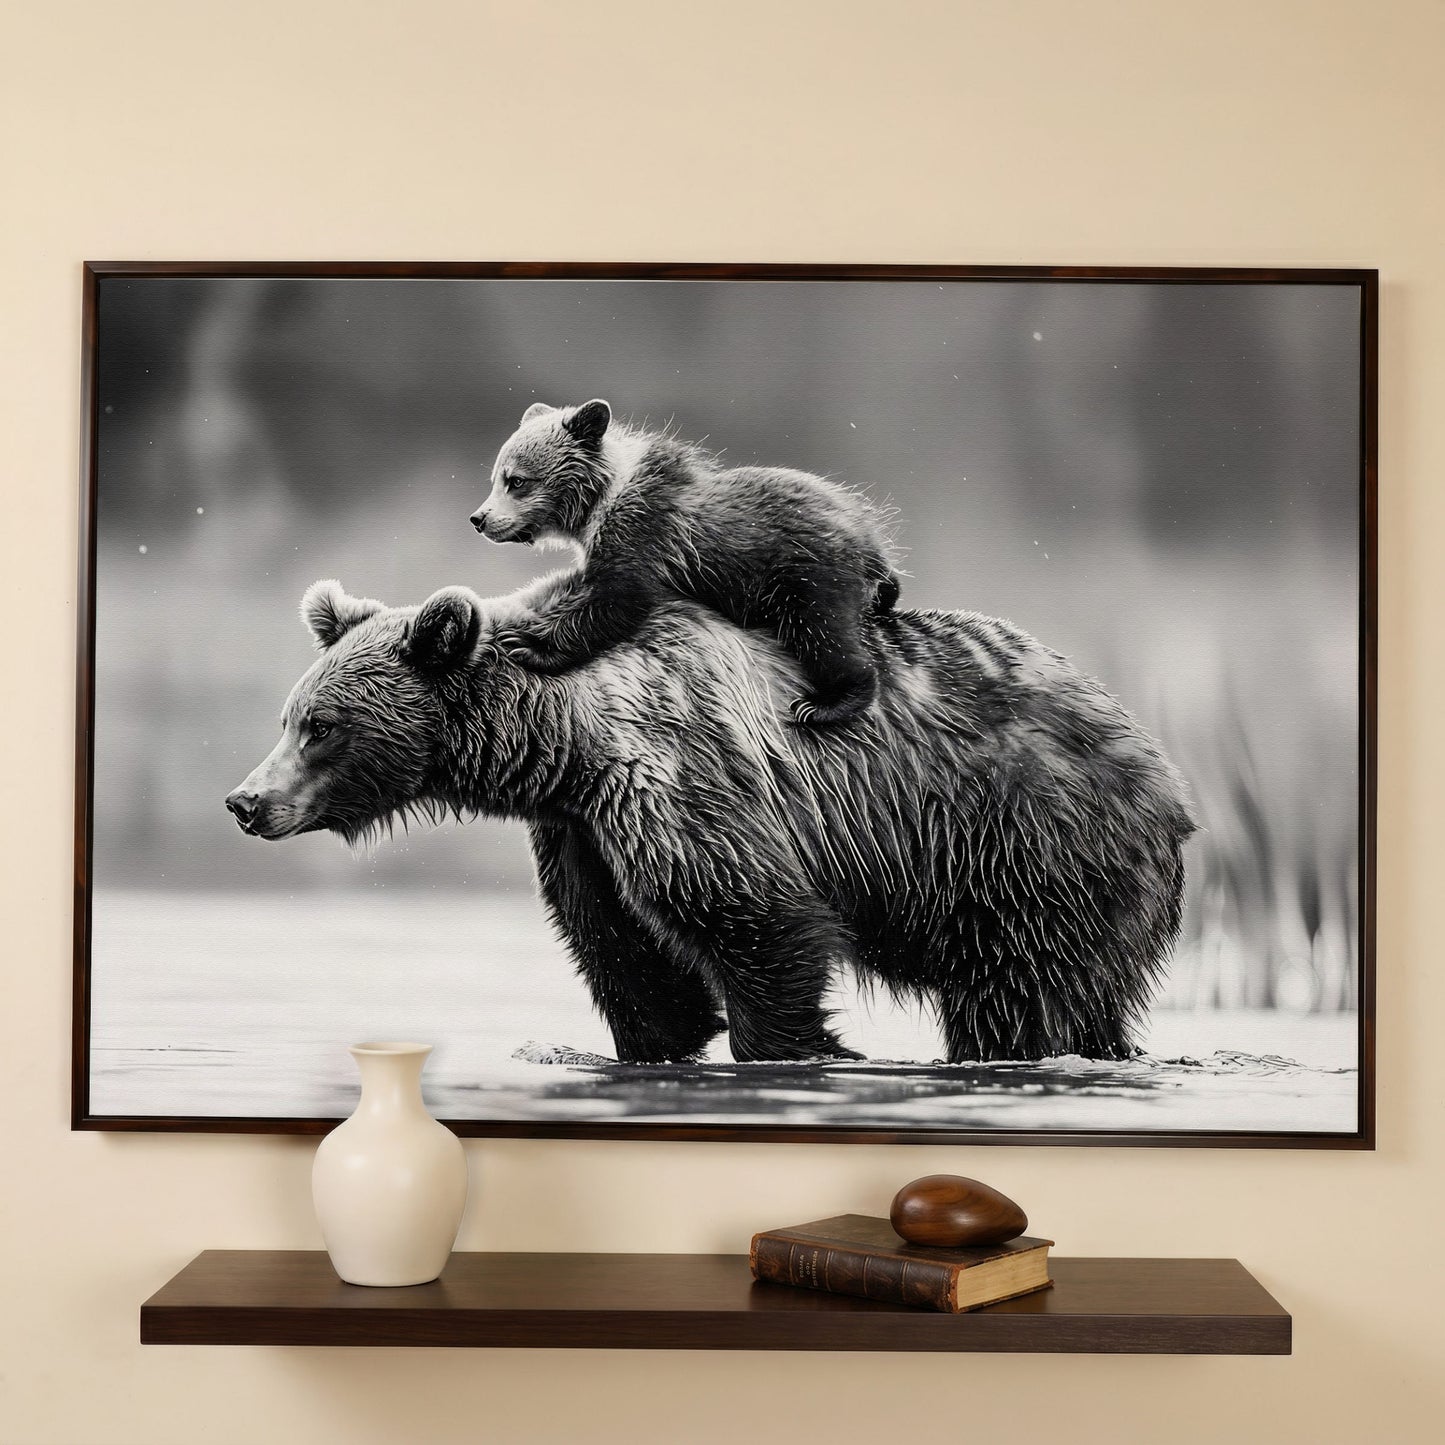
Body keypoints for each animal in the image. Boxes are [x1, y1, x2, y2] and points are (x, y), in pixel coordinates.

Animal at [225, 578, 1195, 1065]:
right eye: (289, 715)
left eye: (320, 725)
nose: (246, 800)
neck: (563, 742)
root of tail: (1166, 774)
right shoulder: (581, 835)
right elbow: (625, 957)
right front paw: (658, 1042)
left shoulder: (681, 779)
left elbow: (757, 922)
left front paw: (804, 1048)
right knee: (1084, 1000)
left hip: (1024, 847)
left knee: (1015, 995)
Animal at [468, 400, 901, 725]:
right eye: (495, 477)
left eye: (517, 480)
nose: (480, 518)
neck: (599, 504)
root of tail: (869, 539)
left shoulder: (643, 535)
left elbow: (617, 601)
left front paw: (527, 643)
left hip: (806, 574)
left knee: (824, 633)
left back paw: (827, 702)